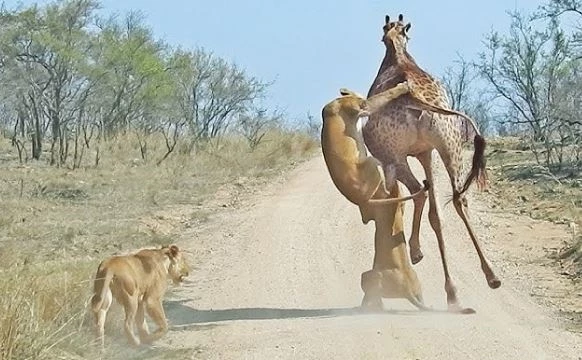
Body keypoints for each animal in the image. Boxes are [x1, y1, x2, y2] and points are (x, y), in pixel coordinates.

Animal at [362, 13, 500, 312]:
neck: (398, 53)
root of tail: (415, 98)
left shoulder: (403, 157)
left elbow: (410, 200)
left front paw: (415, 252)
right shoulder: (426, 152)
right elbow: (434, 212)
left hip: (394, 154)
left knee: (419, 192)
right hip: (449, 145)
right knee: (458, 199)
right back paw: (481, 281)